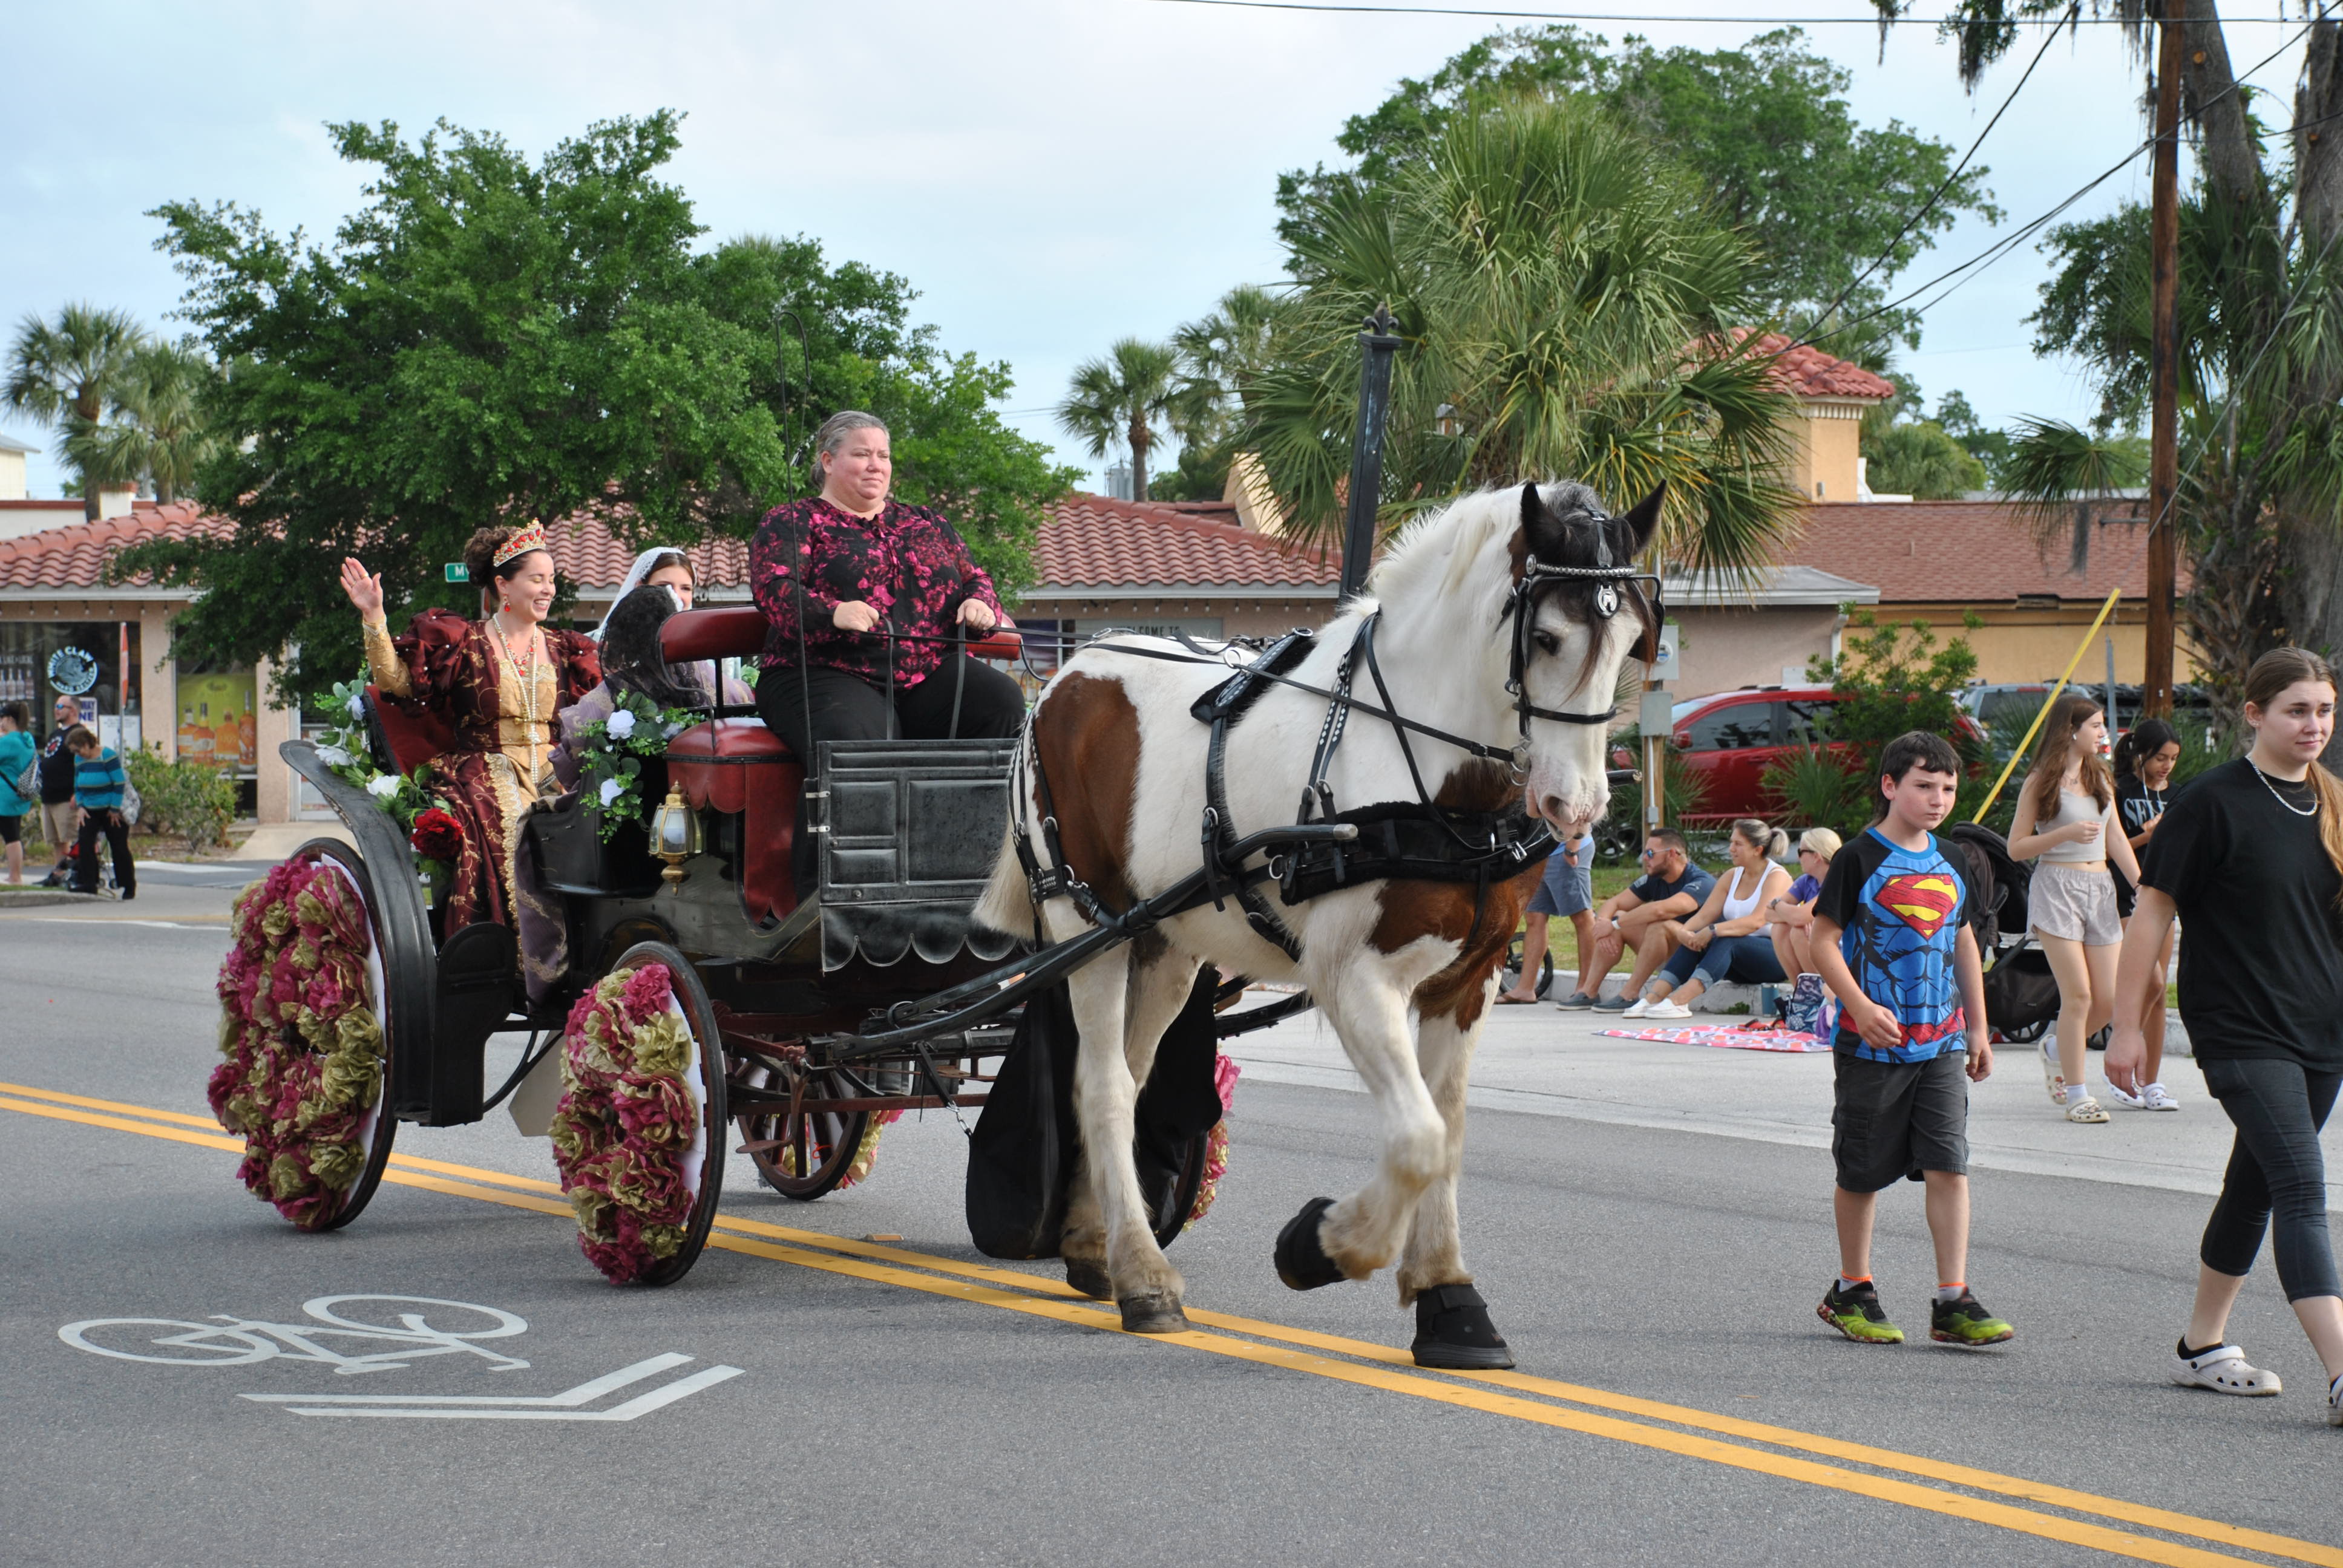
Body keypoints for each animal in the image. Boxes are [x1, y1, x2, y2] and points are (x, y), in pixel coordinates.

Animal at [972, 479, 1662, 1366]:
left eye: (1635, 644)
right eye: (1544, 637)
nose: (1576, 806)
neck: (1427, 776)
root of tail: (1066, 676)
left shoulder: (1468, 981)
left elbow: (1448, 1131)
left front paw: (1448, 1298)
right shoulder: (1352, 977)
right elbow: (1417, 1138)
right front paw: (1323, 1244)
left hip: (1165, 946)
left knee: (1126, 1074)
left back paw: (1098, 1245)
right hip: (1087, 924)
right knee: (1099, 1084)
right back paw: (1144, 1277)